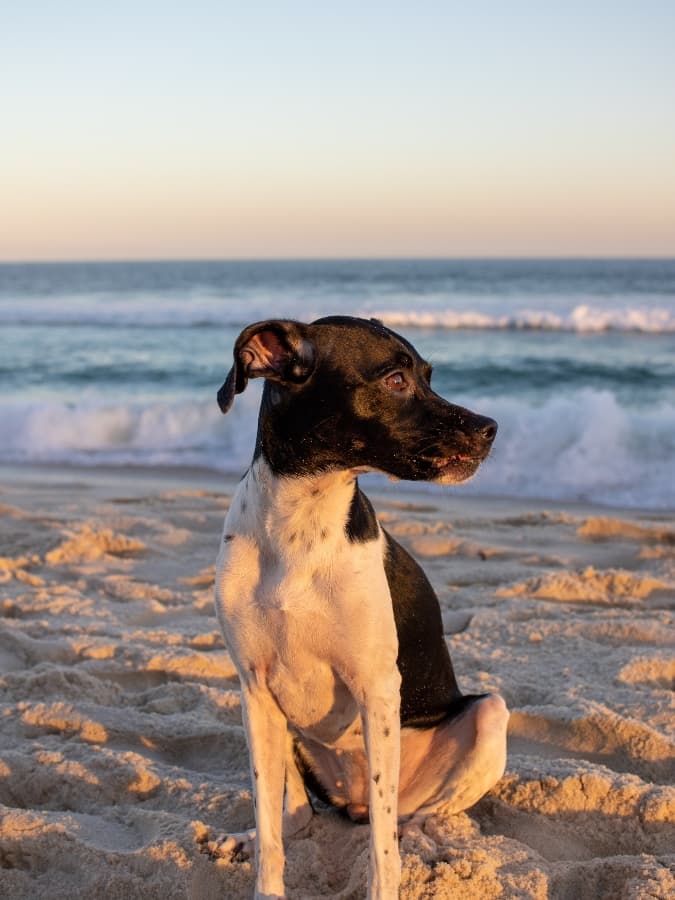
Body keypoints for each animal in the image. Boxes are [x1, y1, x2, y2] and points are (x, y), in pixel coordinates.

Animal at [214, 318, 510, 900]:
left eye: (428, 375)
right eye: (396, 380)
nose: (490, 427)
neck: (301, 526)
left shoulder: (376, 688)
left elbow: (382, 850)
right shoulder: (254, 692)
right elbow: (270, 831)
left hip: (489, 714)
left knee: (409, 816)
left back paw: (420, 836)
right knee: (296, 817)